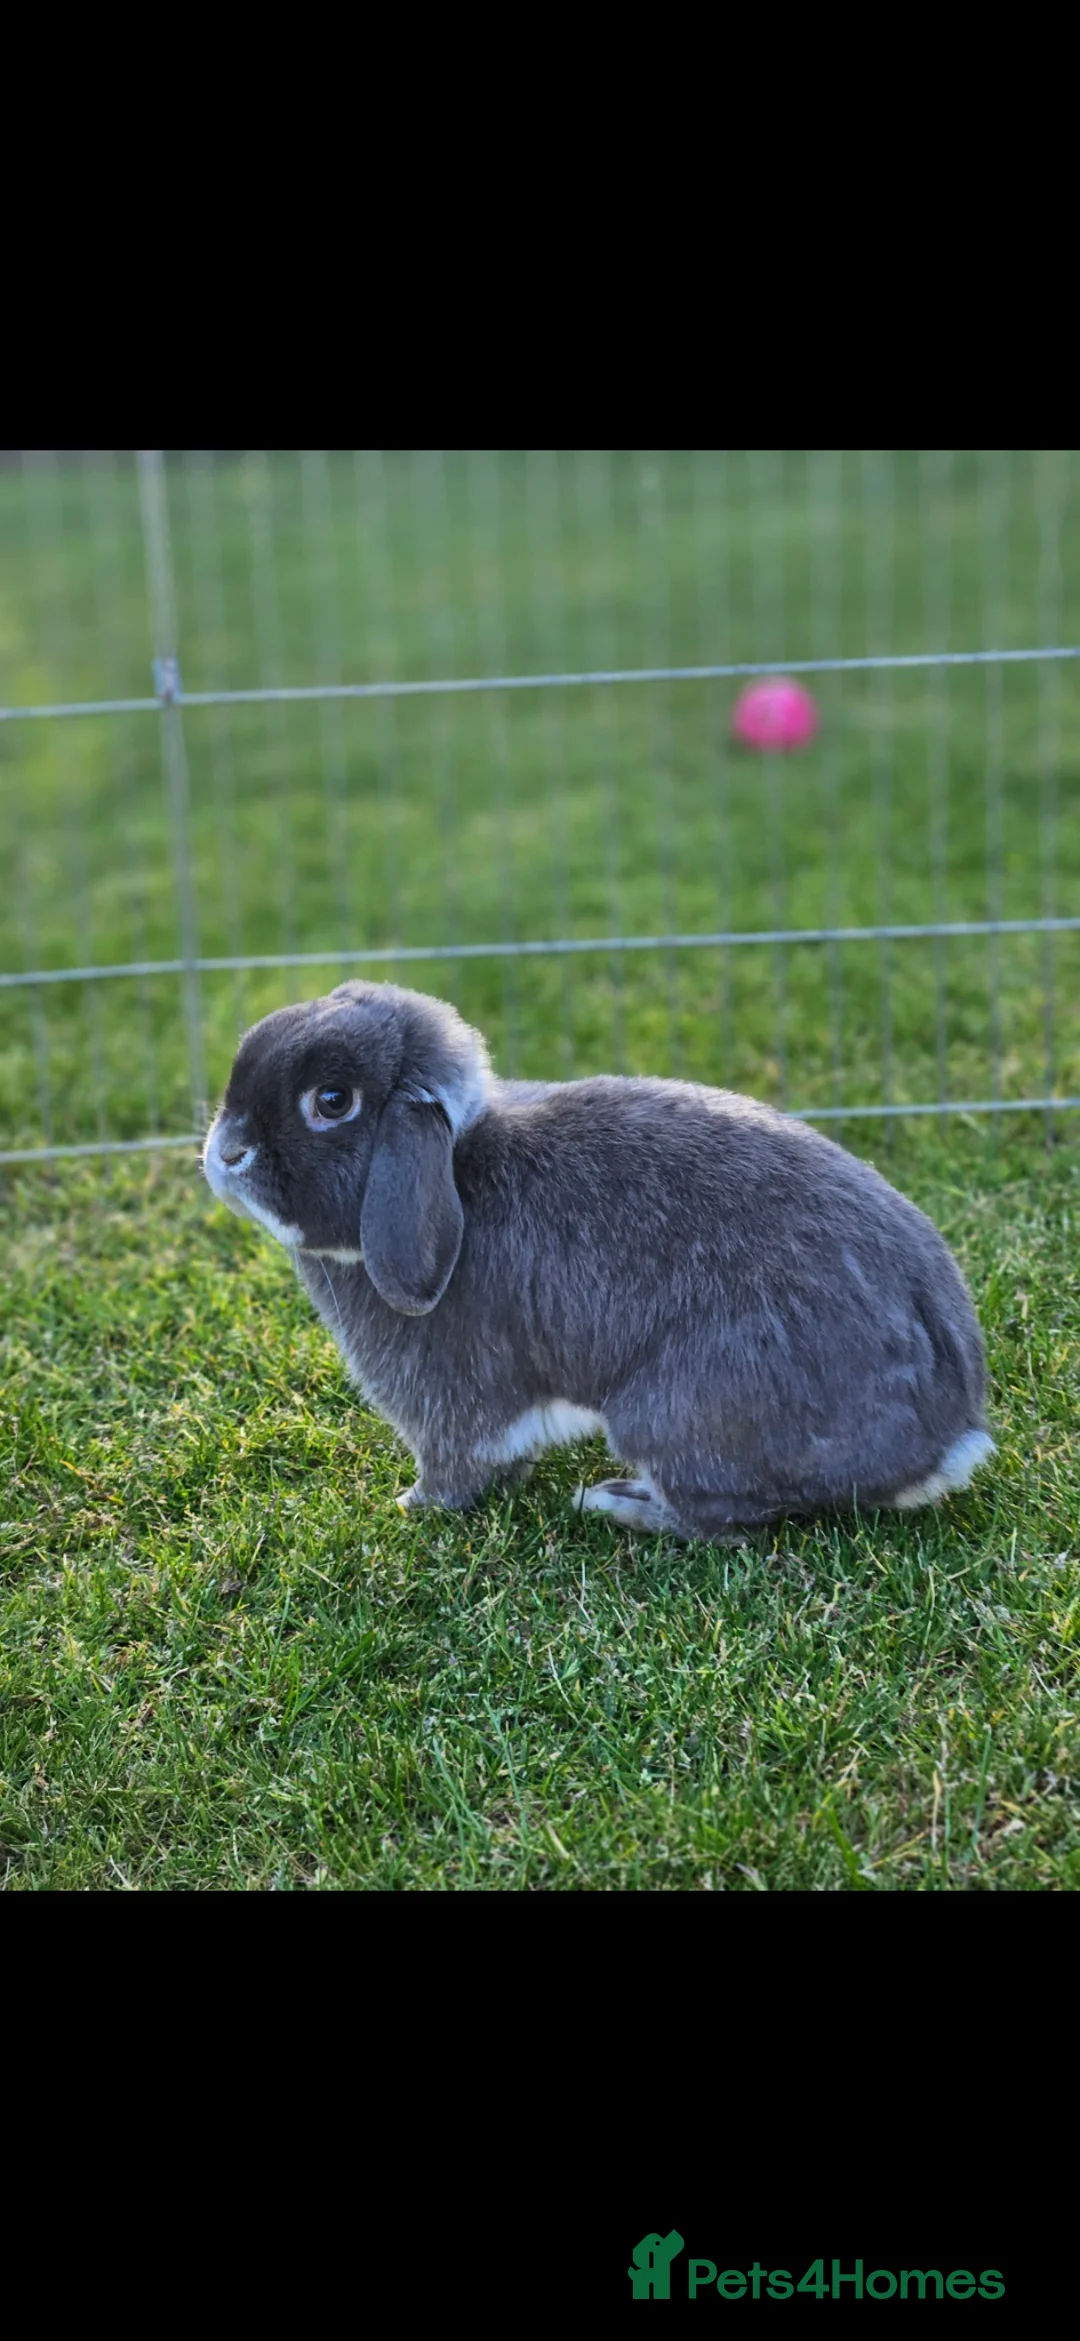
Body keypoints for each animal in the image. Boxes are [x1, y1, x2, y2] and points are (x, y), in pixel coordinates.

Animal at [201, 978, 994, 1542]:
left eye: (332, 1101)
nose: (224, 1153)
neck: (454, 1168)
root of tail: (947, 1441)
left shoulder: (446, 1399)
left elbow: (457, 1464)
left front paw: (412, 1504)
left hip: (666, 1413)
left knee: (728, 1524)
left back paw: (617, 1503)